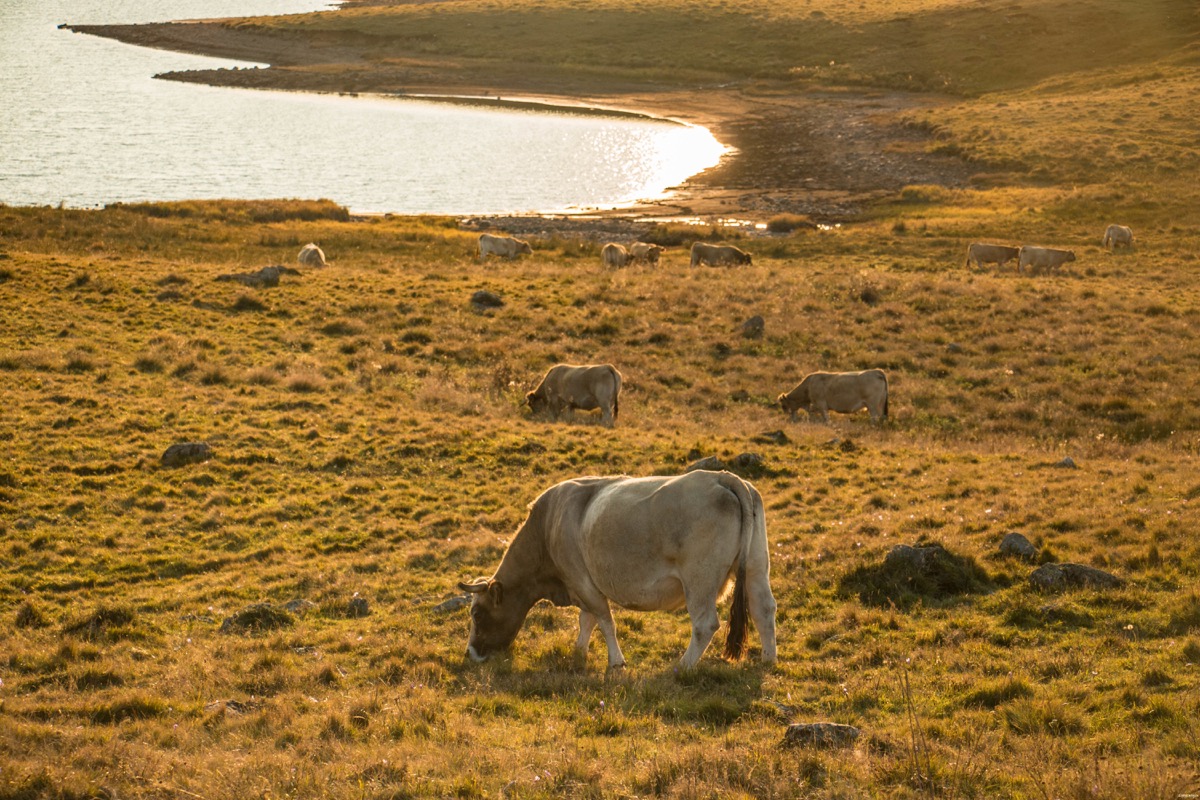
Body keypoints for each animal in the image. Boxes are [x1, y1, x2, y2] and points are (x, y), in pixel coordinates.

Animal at [458, 470, 777, 671]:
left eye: (477, 614)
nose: (470, 653)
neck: (547, 526)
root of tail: (723, 477)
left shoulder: (583, 581)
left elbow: (604, 620)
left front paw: (616, 661)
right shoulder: (581, 586)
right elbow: (586, 620)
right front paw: (579, 651)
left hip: (699, 581)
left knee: (705, 624)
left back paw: (682, 667)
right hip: (757, 567)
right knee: (764, 609)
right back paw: (768, 660)